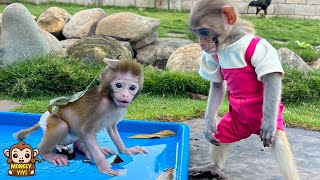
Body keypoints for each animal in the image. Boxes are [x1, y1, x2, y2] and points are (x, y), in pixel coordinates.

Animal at [14, 58, 149, 176]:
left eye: (132, 87)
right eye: (119, 85)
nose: (125, 95)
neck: (111, 100)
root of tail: (46, 117)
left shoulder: (120, 110)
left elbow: (112, 128)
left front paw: (126, 150)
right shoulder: (101, 107)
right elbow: (86, 130)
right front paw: (103, 166)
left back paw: (84, 148)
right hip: (53, 124)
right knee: (62, 126)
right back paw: (47, 153)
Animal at [189, 0, 298, 180]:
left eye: (204, 32)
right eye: (197, 33)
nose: (202, 44)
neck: (230, 42)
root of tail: (250, 130)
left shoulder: (260, 46)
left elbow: (271, 77)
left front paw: (268, 124)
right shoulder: (213, 55)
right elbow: (217, 85)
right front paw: (208, 124)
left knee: (279, 141)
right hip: (234, 121)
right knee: (221, 135)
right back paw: (214, 167)